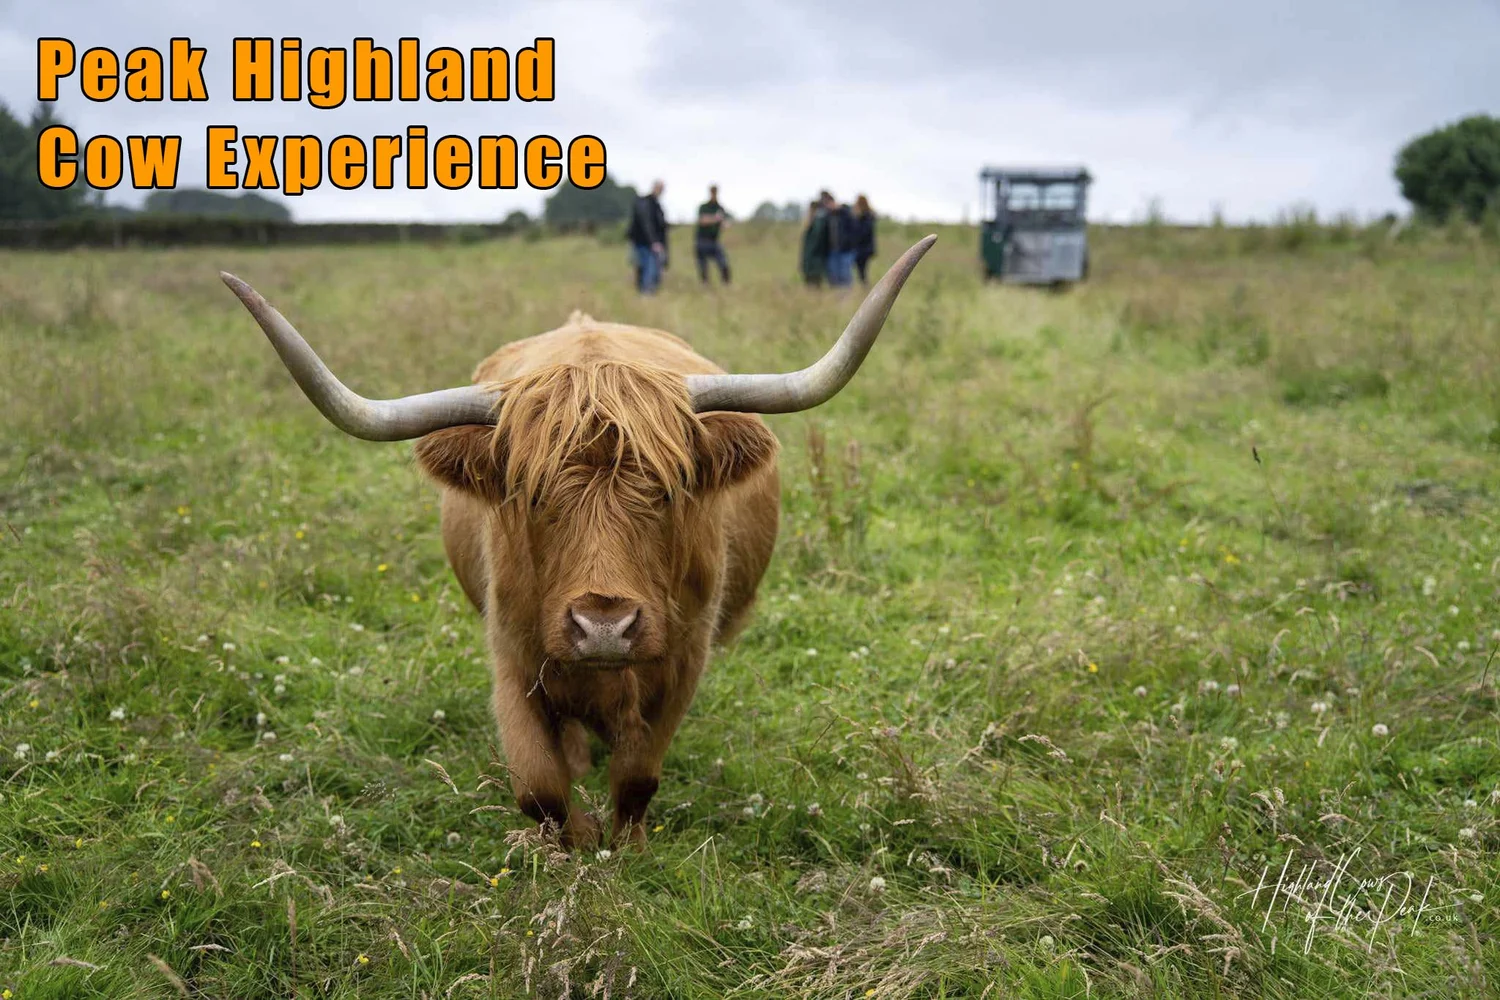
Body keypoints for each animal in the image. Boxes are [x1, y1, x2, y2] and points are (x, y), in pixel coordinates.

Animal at [220, 235, 935, 848]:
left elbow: (639, 774)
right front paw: (577, 840)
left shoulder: (685, 655)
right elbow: (538, 786)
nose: (604, 625)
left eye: (669, 491)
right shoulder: (512, 653)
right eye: (533, 495)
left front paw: (629, 846)